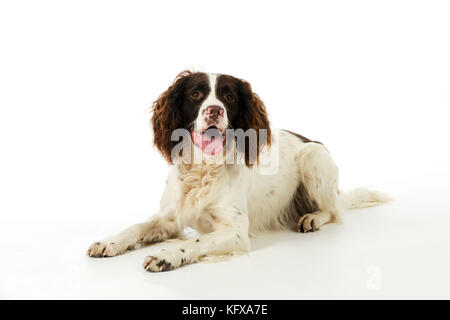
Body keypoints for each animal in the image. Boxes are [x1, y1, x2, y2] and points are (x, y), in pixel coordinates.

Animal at [86, 71, 388, 272]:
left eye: (229, 97)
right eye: (195, 94)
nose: (214, 111)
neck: (202, 168)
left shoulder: (236, 232)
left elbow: (198, 241)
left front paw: (167, 255)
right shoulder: (169, 218)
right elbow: (135, 227)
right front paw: (109, 242)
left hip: (314, 158)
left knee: (336, 211)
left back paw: (312, 217)